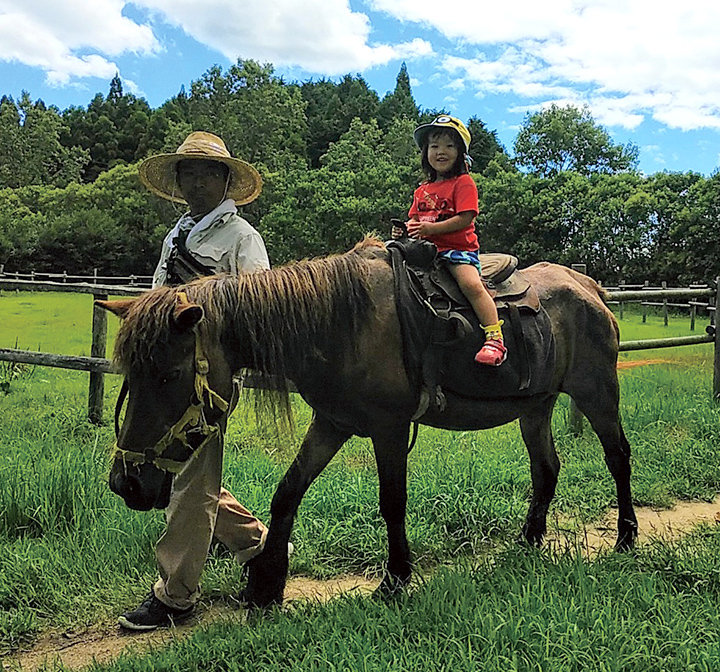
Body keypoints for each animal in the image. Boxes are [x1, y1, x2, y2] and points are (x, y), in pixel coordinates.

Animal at [100, 238, 636, 608]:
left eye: (168, 375)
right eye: (130, 373)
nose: (127, 483)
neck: (339, 323)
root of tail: (588, 286)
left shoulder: (389, 429)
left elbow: (392, 503)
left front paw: (395, 579)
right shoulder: (332, 424)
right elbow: (287, 493)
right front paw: (266, 585)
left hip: (597, 395)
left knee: (618, 458)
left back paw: (626, 539)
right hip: (535, 407)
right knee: (546, 469)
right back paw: (527, 543)